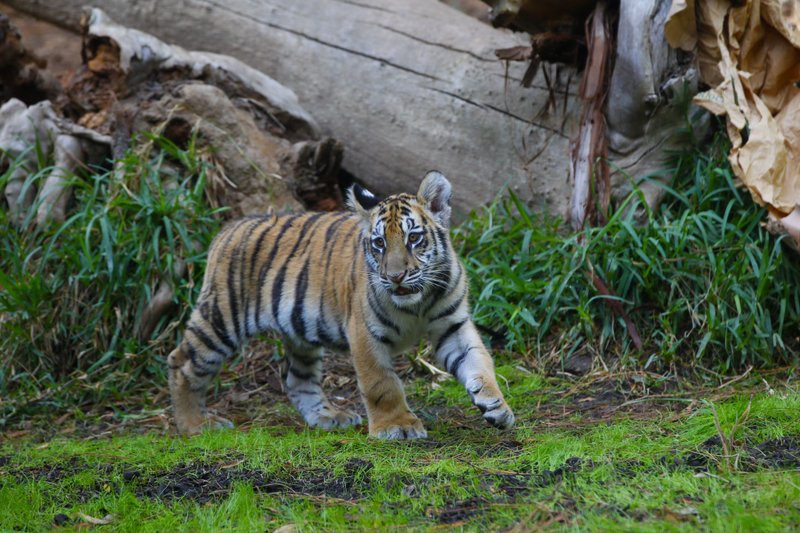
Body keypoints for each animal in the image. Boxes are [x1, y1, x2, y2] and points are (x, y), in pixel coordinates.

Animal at [167, 171, 515, 439]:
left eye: (414, 238)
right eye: (379, 243)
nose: (395, 276)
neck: (418, 302)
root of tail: (228, 229)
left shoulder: (453, 326)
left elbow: (479, 362)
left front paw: (496, 406)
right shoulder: (364, 333)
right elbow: (381, 383)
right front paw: (397, 427)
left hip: (299, 332)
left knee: (297, 379)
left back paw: (328, 417)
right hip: (223, 318)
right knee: (182, 362)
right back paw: (195, 425)